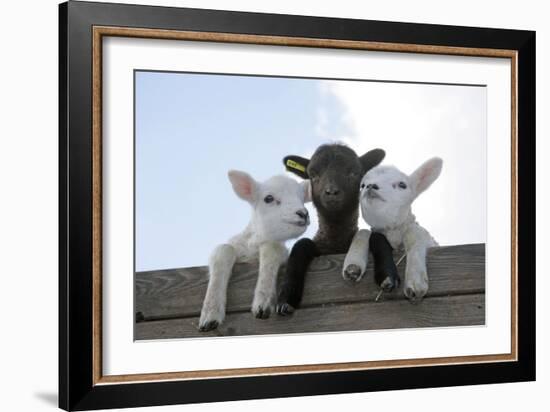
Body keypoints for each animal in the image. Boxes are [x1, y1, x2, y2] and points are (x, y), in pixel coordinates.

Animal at [199, 169, 312, 330]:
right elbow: (223, 249)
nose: (303, 213)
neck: (253, 246)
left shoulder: (277, 247)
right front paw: (210, 313)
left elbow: (272, 248)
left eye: (302, 198)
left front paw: (263, 302)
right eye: (268, 198)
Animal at [344, 156, 444, 300]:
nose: (370, 186)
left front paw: (415, 280)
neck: (393, 230)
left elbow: (414, 232)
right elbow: (364, 232)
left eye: (402, 185)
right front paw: (353, 265)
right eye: (362, 186)